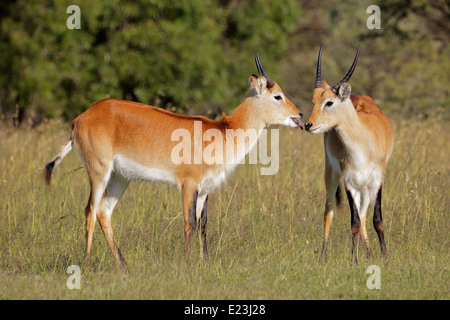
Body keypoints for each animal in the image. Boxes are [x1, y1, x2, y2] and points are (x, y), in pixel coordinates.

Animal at [44, 52, 304, 270]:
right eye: (277, 95)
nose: (300, 114)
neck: (223, 132)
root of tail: (80, 118)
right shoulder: (188, 184)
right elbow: (189, 222)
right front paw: (186, 264)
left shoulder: (205, 189)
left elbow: (203, 224)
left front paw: (205, 263)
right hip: (99, 171)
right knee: (89, 210)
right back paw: (87, 264)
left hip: (120, 177)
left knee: (103, 212)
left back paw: (123, 266)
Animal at [306, 45, 394, 262]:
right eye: (313, 101)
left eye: (329, 102)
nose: (308, 124)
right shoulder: (348, 181)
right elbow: (353, 221)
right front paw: (354, 260)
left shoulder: (377, 179)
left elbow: (376, 220)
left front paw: (385, 256)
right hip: (332, 173)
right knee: (328, 213)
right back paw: (324, 256)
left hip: (365, 186)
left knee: (363, 216)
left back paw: (370, 254)